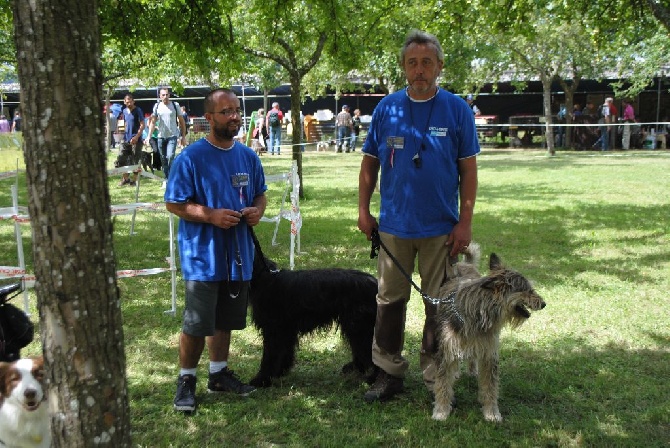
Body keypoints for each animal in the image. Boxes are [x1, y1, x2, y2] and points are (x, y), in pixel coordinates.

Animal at [251, 240, 380, 386]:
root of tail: (375, 282)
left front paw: (261, 379)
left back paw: (373, 378)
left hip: (359, 326)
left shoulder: (273, 328)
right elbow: (284, 353)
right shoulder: (286, 330)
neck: (264, 277)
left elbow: (270, 355)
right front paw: (279, 372)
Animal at [434, 248, 548, 424]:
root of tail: (465, 265)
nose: (543, 304)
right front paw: (441, 411)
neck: (480, 313)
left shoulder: (489, 354)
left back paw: (472, 370)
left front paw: (492, 413)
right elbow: (442, 383)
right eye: (527, 290)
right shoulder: (446, 350)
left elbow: (490, 387)